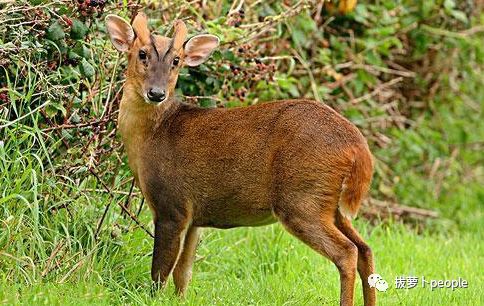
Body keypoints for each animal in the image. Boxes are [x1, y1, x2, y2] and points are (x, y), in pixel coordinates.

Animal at [106, 12, 376, 306]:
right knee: (365, 248)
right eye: (141, 54)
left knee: (347, 251)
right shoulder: (194, 216)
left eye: (176, 60)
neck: (151, 136)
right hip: (330, 204)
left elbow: (160, 273)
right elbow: (183, 274)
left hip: (301, 199)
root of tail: (358, 147)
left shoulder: (171, 205)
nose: (156, 93)